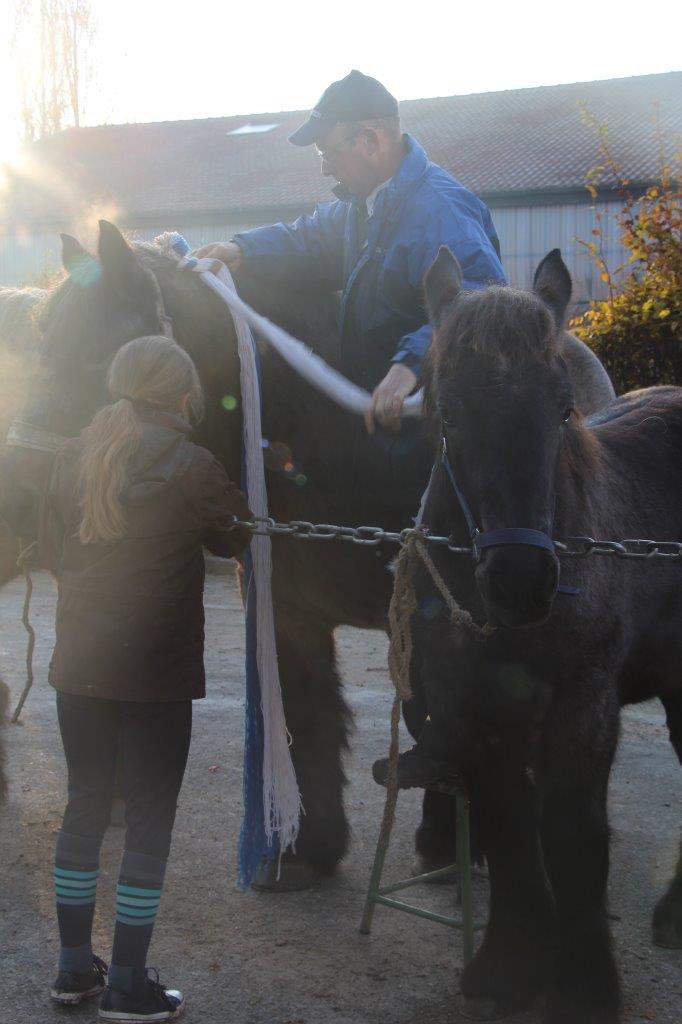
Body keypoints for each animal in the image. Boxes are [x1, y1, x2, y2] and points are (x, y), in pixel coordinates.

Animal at [0, 220, 614, 884]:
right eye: (42, 348)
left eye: (95, 357)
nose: (17, 494)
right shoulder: (288, 606)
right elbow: (308, 713)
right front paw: (307, 850)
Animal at [411, 247, 682, 1024]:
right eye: (447, 411)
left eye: (563, 409)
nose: (520, 581)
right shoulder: (475, 709)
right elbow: (508, 826)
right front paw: (508, 964)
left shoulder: (582, 706)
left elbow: (575, 836)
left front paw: (587, 985)